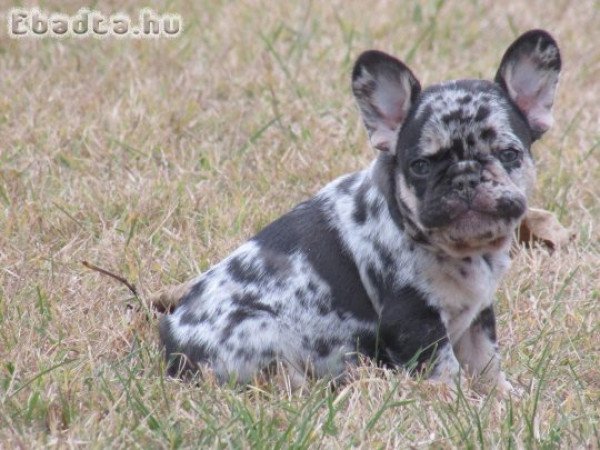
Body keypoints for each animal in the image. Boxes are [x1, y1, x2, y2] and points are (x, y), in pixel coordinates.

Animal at [159, 29, 564, 392]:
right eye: (420, 166)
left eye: (508, 154)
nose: (465, 178)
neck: (463, 251)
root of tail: (173, 346)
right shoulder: (414, 318)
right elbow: (444, 369)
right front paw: (457, 406)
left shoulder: (478, 315)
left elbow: (486, 360)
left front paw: (502, 399)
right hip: (262, 331)